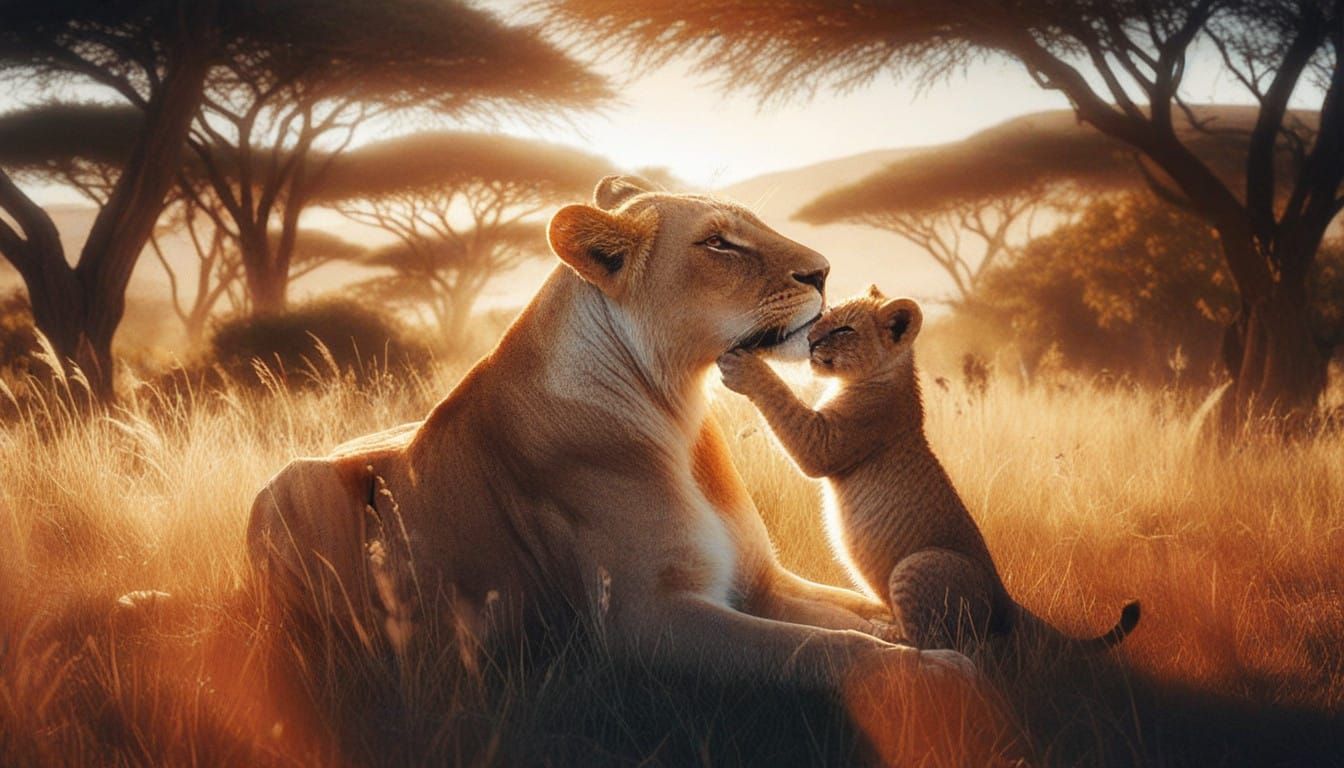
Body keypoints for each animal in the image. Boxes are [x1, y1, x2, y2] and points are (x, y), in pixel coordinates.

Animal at [246, 178, 982, 722]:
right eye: (718, 243)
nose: (824, 272)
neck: (678, 412)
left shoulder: (761, 581)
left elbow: (856, 617)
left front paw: (943, 634)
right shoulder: (642, 622)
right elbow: (819, 649)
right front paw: (940, 671)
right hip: (303, 496)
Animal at [718, 287, 1140, 652]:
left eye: (844, 330)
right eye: (825, 317)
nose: (809, 341)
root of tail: (1004, 594)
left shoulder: (827, 443)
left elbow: (784, 407)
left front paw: (745, 366)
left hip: (917, 564)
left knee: (934, 642)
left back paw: (881, 629)